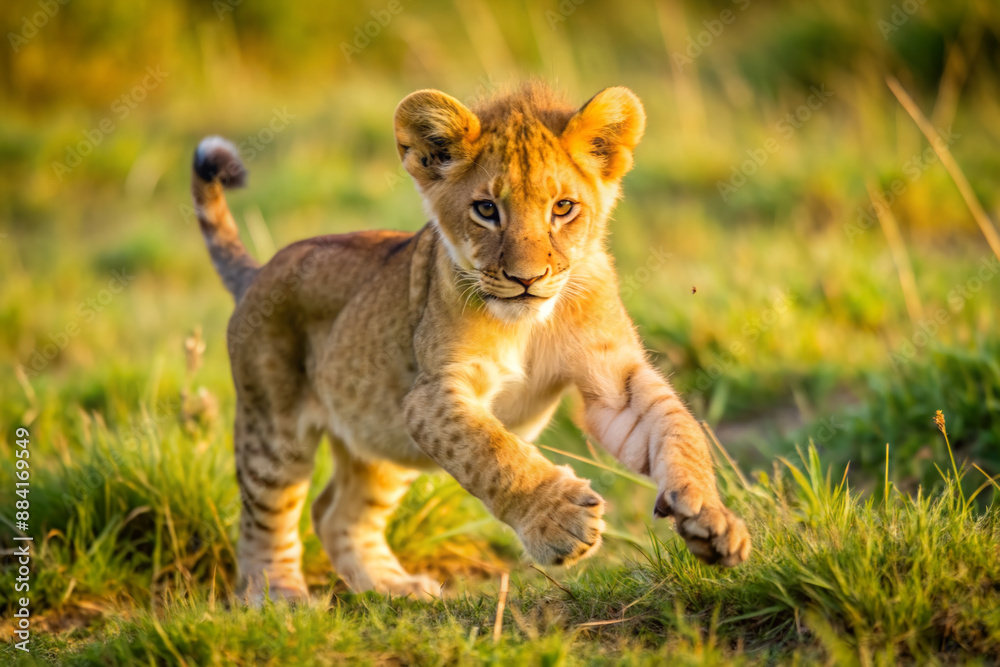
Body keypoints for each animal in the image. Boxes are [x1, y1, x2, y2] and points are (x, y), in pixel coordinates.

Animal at [190, 83, 750, 602]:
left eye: (563, 207)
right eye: (485, 209)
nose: (527, 278)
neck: (531, 323)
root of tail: (259, 271)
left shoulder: (612, 381)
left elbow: (676, 427)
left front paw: (711, 517)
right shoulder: (432, 395)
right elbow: (492, 451)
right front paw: (560, 522)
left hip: (380, 437)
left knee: (337, 513)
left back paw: (393, 587)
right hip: (275, 425)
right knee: (267, 514)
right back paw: (277, 596)